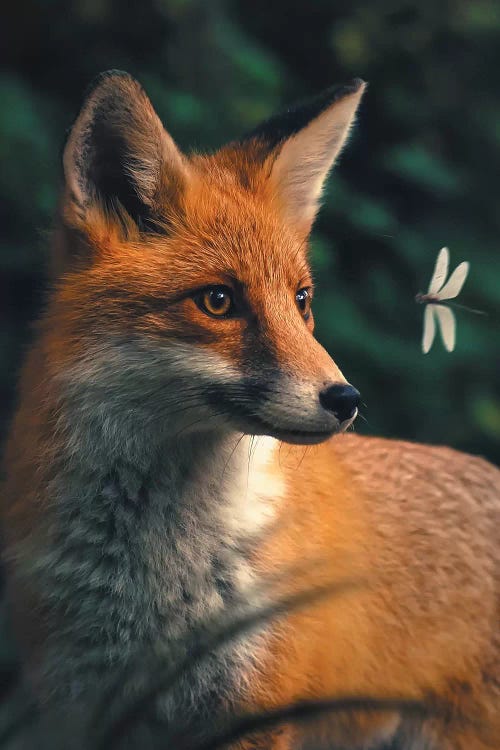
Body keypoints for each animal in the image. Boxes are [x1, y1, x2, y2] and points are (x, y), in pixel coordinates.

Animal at [1, 69, 499, 750]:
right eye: (218, 301)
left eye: (302, 300)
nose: (347, 399)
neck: (151, 581)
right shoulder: (78, 707)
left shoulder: (255, 705)